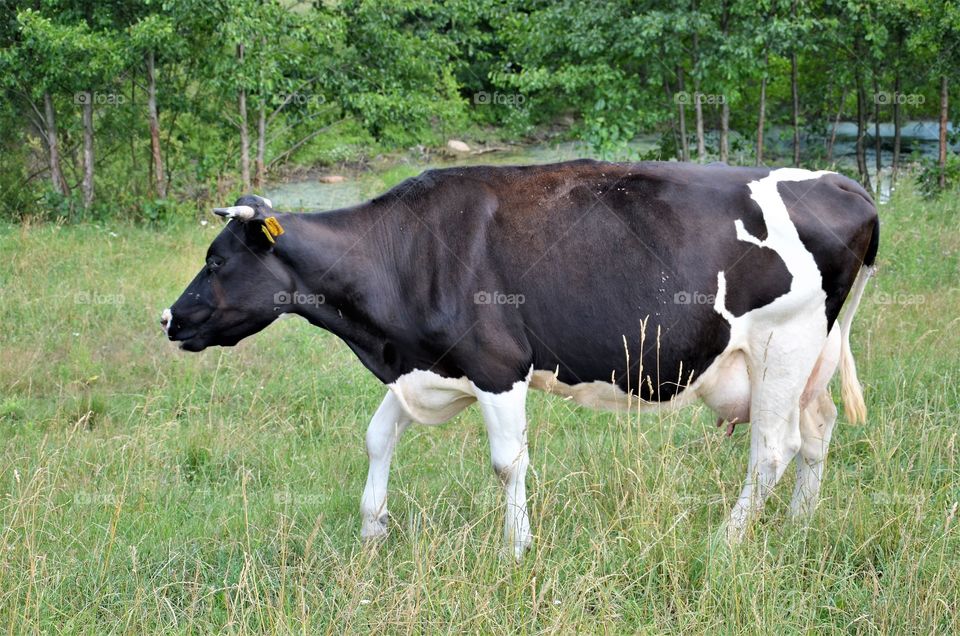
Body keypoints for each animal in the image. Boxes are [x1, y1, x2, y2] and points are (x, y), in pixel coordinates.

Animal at [161, 160, 879, 559]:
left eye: (216, 261)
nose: (169, 318)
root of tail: (847, 186)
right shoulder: (427, 367)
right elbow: (376, 437)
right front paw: (372, 533)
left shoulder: (497, 364)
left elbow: (508, 463)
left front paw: (516, 549)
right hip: (811, 354)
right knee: (817, 431)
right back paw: (800, 526)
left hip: (783, 344)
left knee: (773, 449)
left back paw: (726, 543)